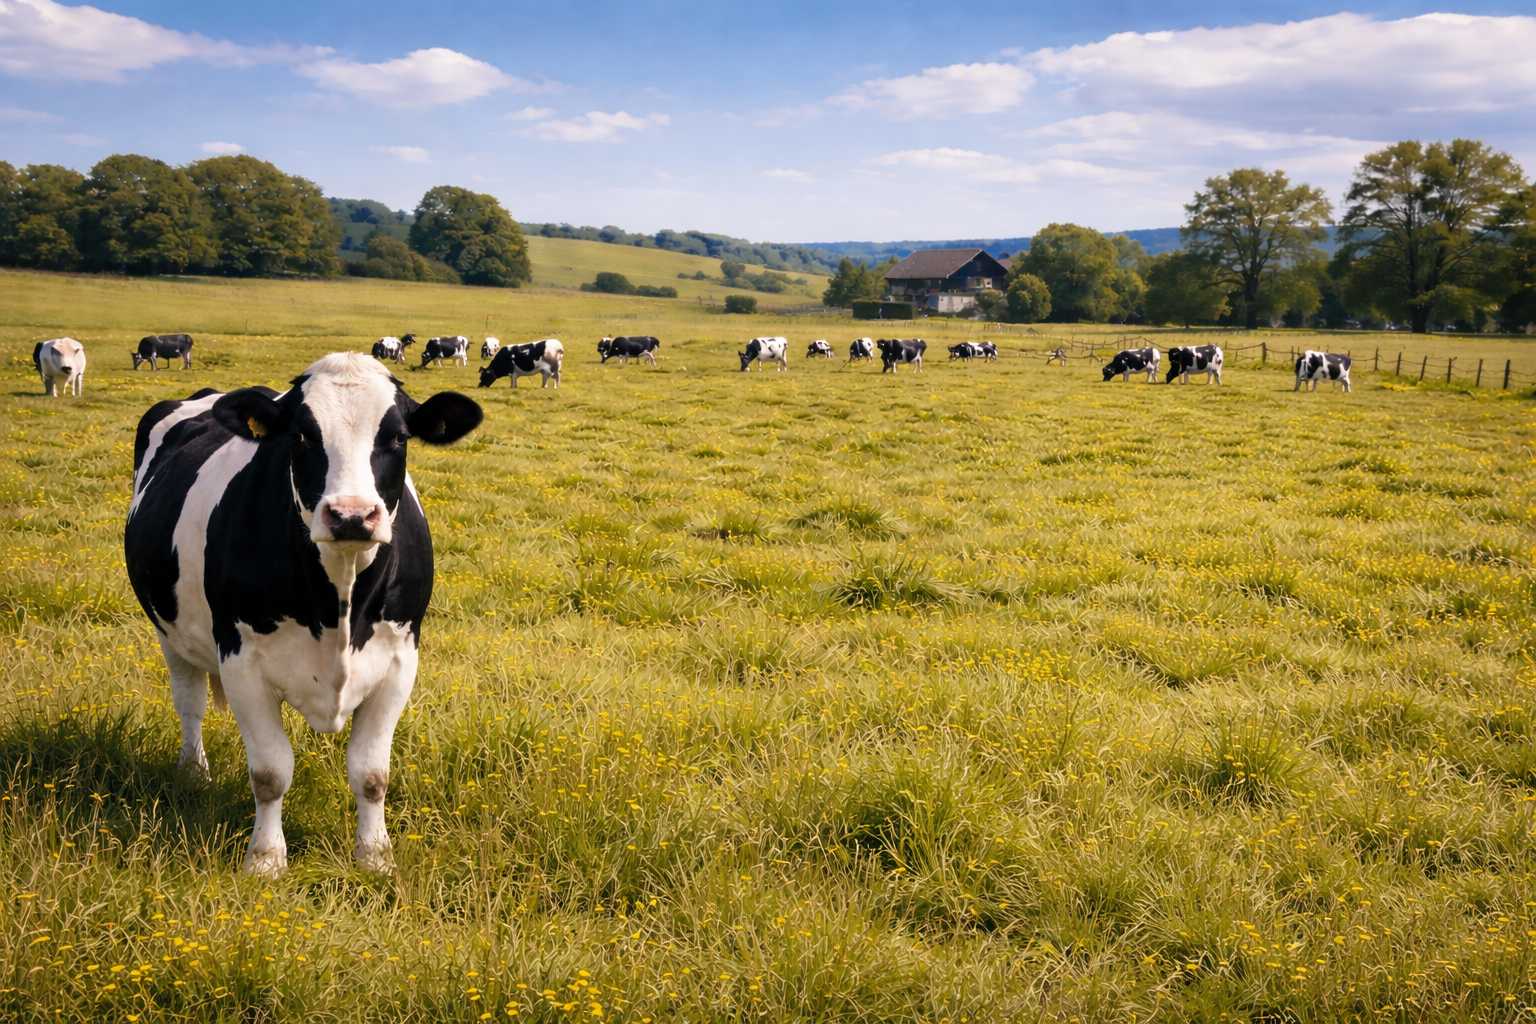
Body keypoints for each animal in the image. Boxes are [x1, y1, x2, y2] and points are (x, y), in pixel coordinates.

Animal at [123, 352, 483, 877]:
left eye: (398, 437)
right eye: (300, 436)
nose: (352, 515)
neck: (339, 603)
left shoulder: (400, 659)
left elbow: (372, 773)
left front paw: (375, 857)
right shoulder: (241, 660)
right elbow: (270, 772)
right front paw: (265, 860)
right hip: (168, 633)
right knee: (189, 703)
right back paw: (194, 774)